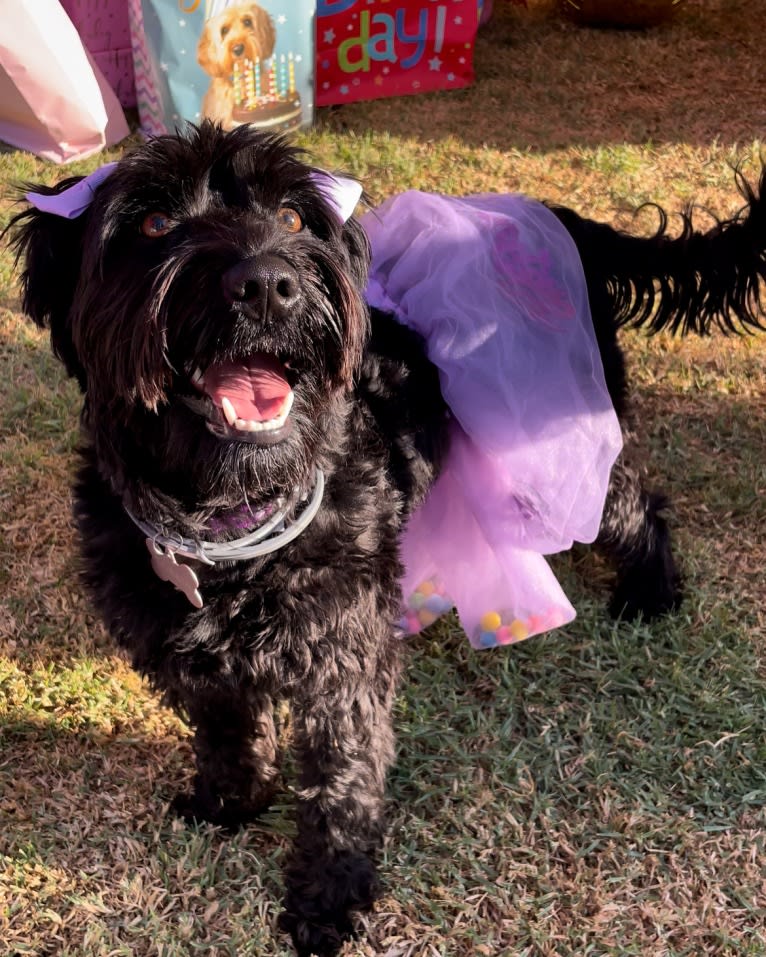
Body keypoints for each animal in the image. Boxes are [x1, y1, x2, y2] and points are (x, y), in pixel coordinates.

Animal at [7, 123, 766, 952]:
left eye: (293, 216)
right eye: (152, 222)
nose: (267, 283)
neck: (227, 524)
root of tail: (560, 217)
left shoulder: (343, 654)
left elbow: (344, 776)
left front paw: (329, 896)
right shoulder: (177, 642)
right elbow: (226, 725)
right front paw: (230, 800)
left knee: (626, 501)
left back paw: (650, 589)